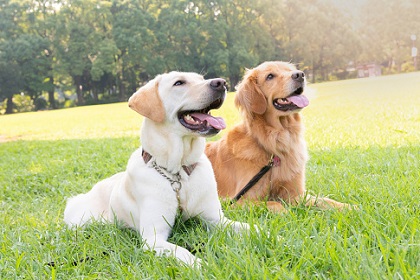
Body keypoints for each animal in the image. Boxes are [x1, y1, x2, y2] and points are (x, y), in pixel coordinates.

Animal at [64, 71, 251, 266]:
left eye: (201, 78)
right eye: (179, 83)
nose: (221, 83)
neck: (178, 173)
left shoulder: (216, 219)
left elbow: (250, 227)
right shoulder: (153, 238)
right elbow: (182, 251)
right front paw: (202, 265)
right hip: (82, 219)